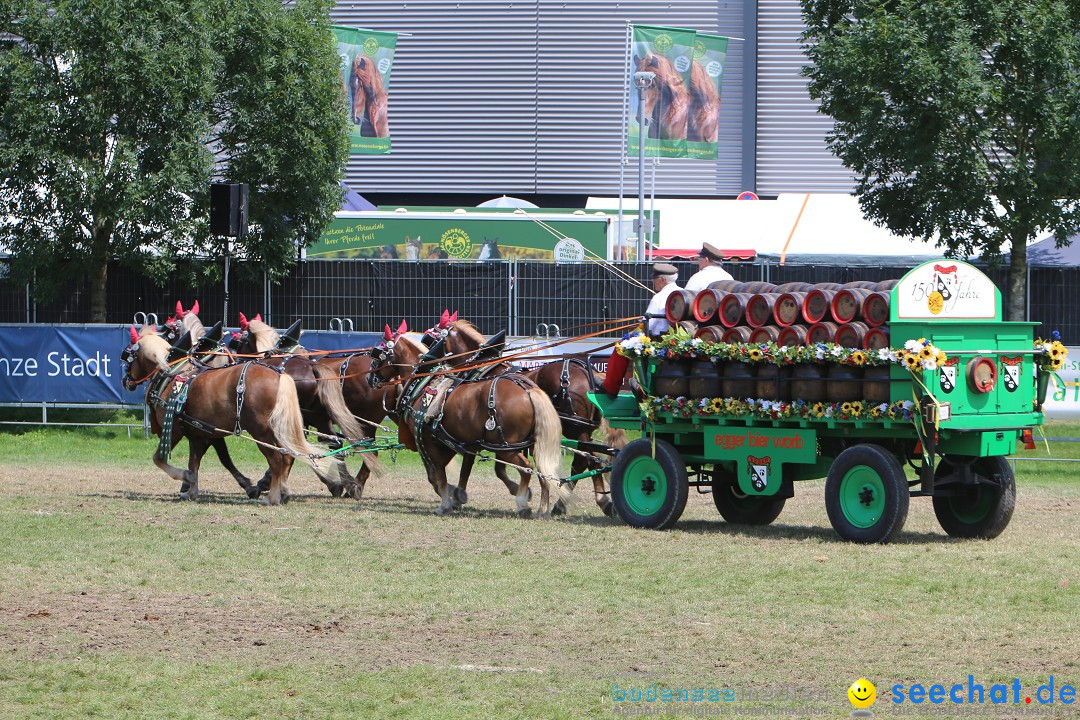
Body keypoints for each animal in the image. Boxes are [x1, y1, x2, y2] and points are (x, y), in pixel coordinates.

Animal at [119, 328, 336, 505]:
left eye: (129, 356)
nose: (125, 381)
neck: (173, 374)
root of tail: (280, 375)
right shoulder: (199, 433)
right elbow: (195, 463)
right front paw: (191, 490)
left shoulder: (174, 429)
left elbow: (159, 459)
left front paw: (185, 478)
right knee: (288, 456)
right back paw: (284, 491)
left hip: (262, 432)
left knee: (277, 460)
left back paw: (273, 497)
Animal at [371, 325, 570, 518]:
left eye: (378, 352)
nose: (370, 378)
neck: (424, 381)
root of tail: (529, 390)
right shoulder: (460, 441)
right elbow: (463, 469)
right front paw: (457, 495)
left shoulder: (426, 441)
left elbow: (437, 475)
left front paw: (446, 503)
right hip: (533, 445)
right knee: (543, 471)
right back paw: (542, 509)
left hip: (506, 447)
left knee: (526, 467)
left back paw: (523, 503)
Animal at [438, 317, 626, 515]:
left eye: (434, 336)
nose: (428, 362)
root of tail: (588, 374)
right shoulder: (503, 438)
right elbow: (500, 466)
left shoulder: (479, 434)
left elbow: (469, 464)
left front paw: (458, 496)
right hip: (583, 431)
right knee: (585, 460)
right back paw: (566, 503)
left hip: (576, 429)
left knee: (586, 459)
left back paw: (595, 501)